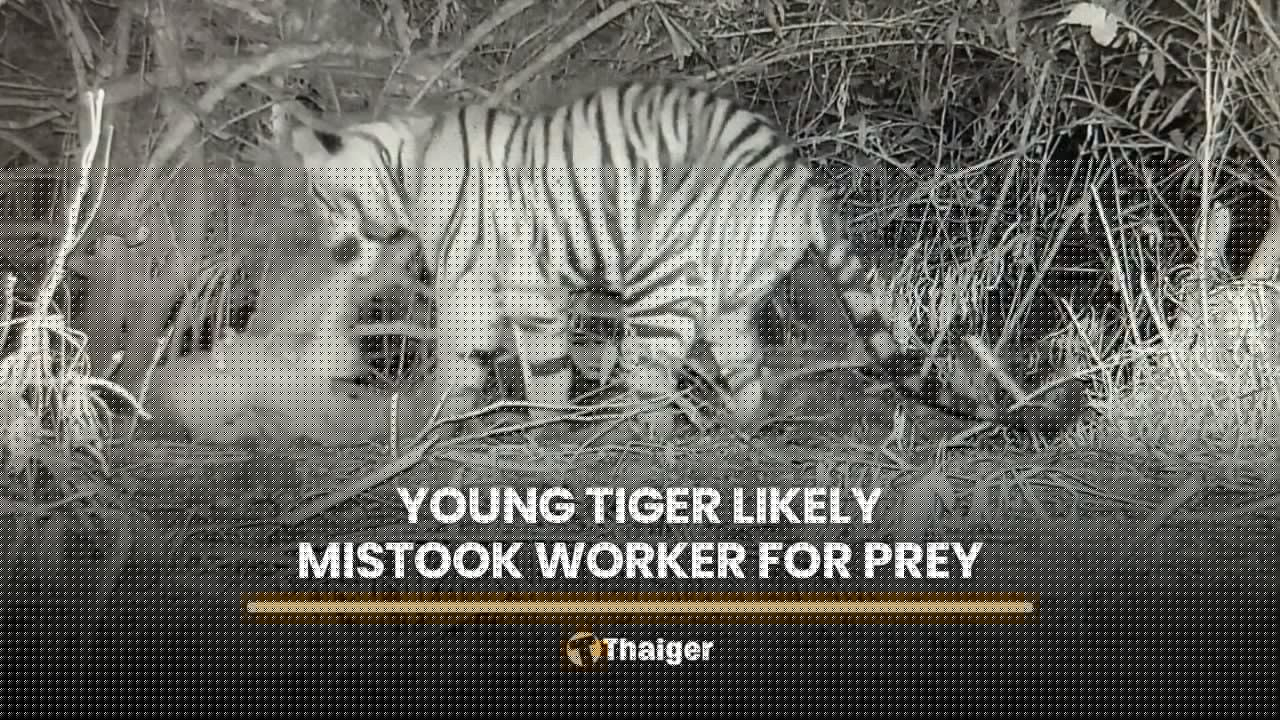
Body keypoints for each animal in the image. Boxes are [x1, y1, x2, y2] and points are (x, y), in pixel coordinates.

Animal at [286, 81, 926, 440]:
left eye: (317, 198)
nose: (330, 249)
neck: (406, 169)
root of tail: (800, 178)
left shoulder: (480, 289)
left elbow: (478, 365)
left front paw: (452, 430)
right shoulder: (512, 291)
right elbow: (518, 368)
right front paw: (512, 427)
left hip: (661, 282)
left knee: (653, 393)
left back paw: (625, 442)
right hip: (731, 298)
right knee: (747, 373)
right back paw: (738, 433)